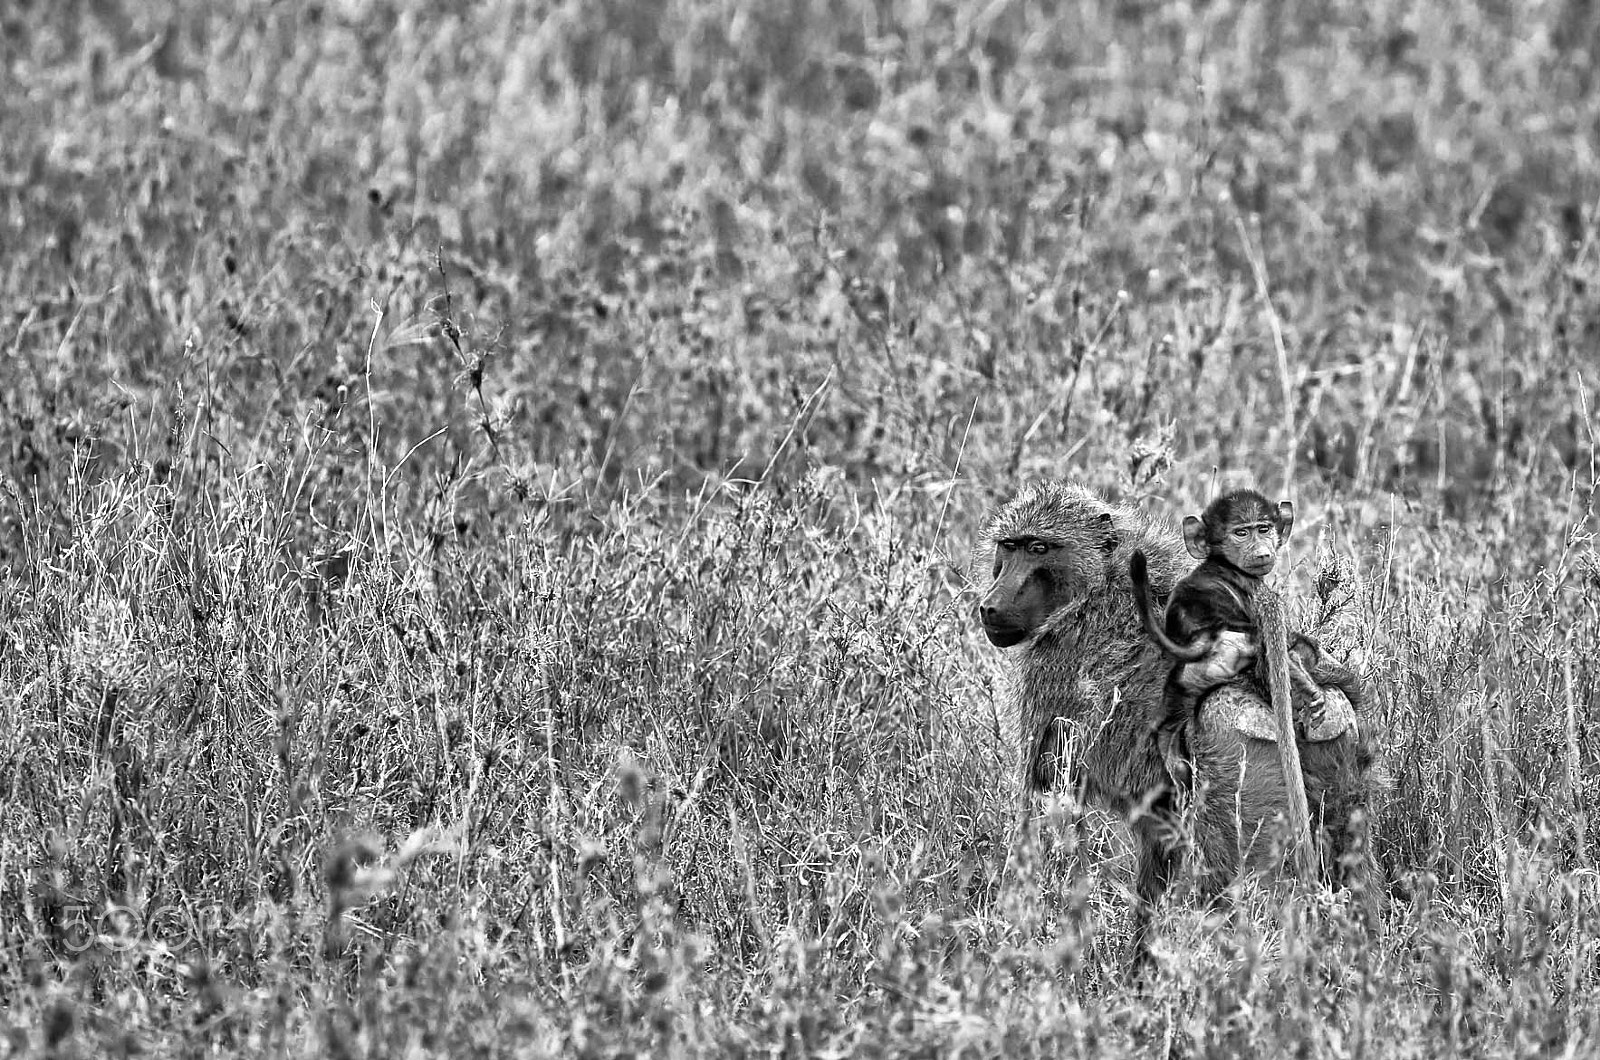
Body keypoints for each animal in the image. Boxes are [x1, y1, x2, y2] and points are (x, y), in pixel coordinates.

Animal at [1128, 489, 1368, 783]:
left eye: (1263, 529)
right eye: (1240, 533)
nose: (1262, 552)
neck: (1220, 563)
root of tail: (1207, 636)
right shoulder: (1258, 594)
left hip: (1188, 679)